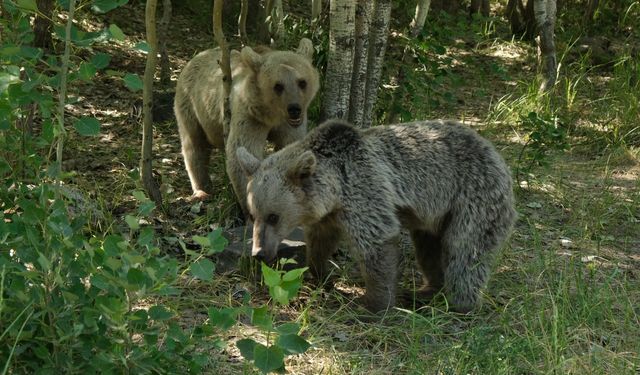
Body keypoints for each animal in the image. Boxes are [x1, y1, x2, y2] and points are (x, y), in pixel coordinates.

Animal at [174, 39, 318, 213]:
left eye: (302, 82)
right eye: (278, 86)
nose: (295, 109)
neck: (271, 115)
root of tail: (196, 57)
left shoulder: (288, 126)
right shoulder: (249, 116)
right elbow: (242, 155)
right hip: (191, 105)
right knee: (195, 145)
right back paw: (202, 190)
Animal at [235, 119, 516, 312]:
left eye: (274, 216)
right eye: (253, 214)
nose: (259, 252)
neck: (336, 190)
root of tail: (493, 150)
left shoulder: (365, 193)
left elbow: (376, 244)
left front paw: (373, 303)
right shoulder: (330, 215)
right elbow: (320, 242)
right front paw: (320, 274)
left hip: (473, 196)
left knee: (466, 251)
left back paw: (460, 304)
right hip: (436, 216)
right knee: (428, 248)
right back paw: (427, 290)